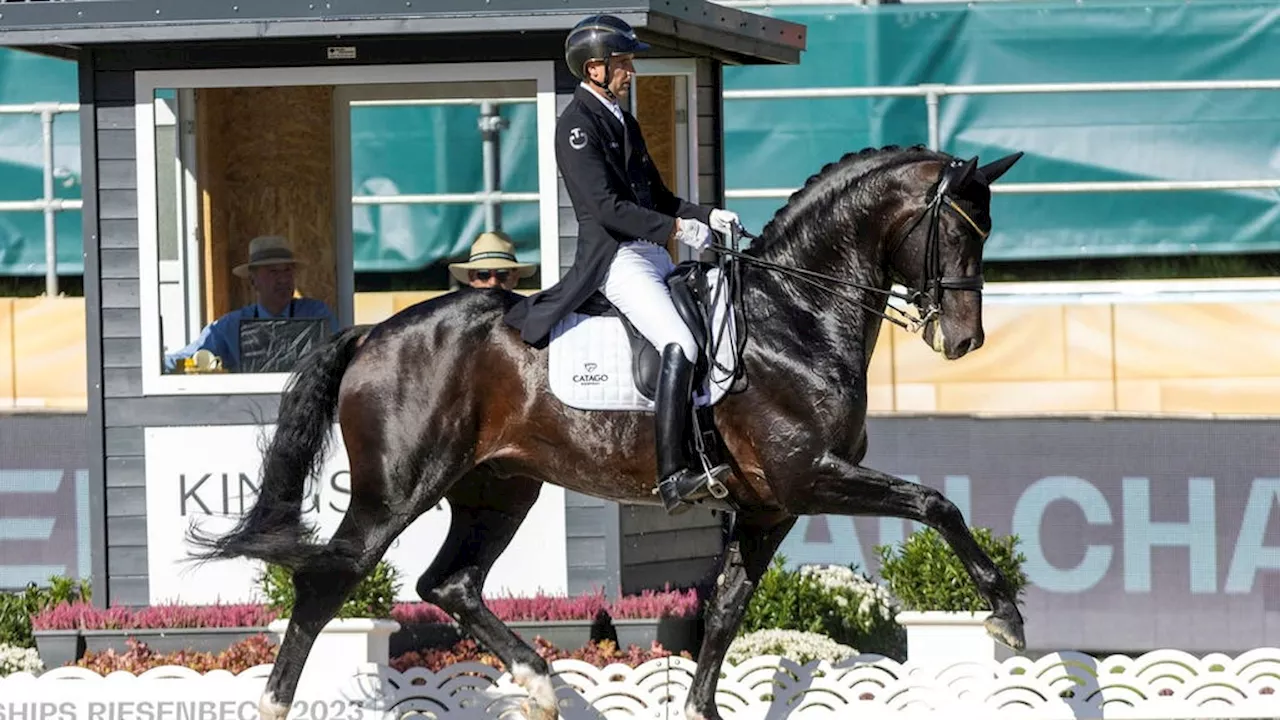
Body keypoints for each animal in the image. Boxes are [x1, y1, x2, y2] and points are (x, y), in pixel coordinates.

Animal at [192, 142, 1029, 712]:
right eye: (960, 234)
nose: (965, 341)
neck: (794, 315)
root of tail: (373, 333)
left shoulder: (771, 507)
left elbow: (725, 613)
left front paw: (698, 709)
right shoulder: (810, 478)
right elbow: (937, 504)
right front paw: (1007, 614)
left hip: (499, 487)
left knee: (448, 581)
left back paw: (541, 686)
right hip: (393, 493)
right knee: (326, 582)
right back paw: (275, 703)